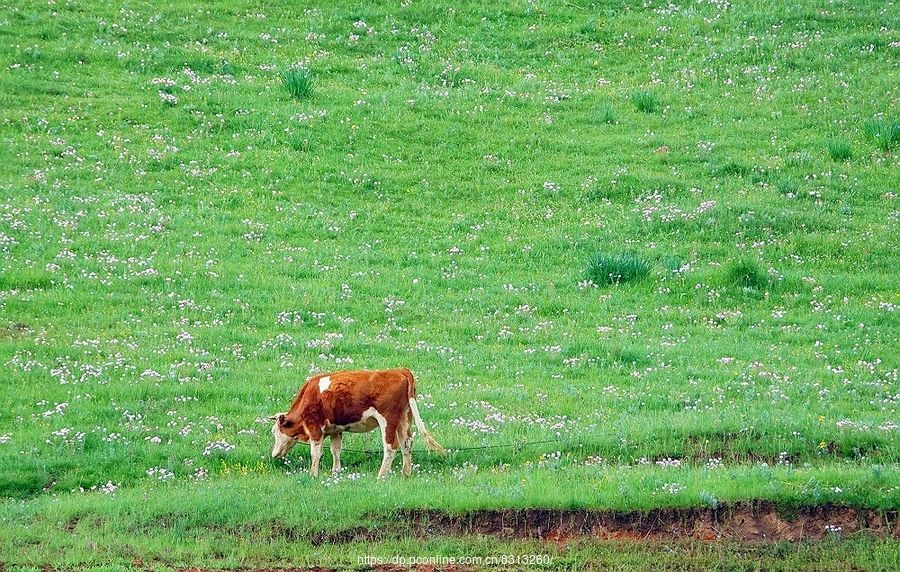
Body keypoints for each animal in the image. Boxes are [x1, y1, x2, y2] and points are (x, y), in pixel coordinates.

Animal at [270, 368, 446, 476]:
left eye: (274, 432)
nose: (274, 454)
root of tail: (400, 370)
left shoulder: (315, 427)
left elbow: (316, 453)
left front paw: (313, 475)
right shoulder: (336, 429)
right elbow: (336, 450)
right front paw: (336, 472)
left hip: (388, 419)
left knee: (391, 447)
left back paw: (381, 476)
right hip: (404, 418)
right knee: (406, 443)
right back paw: (406, 474)